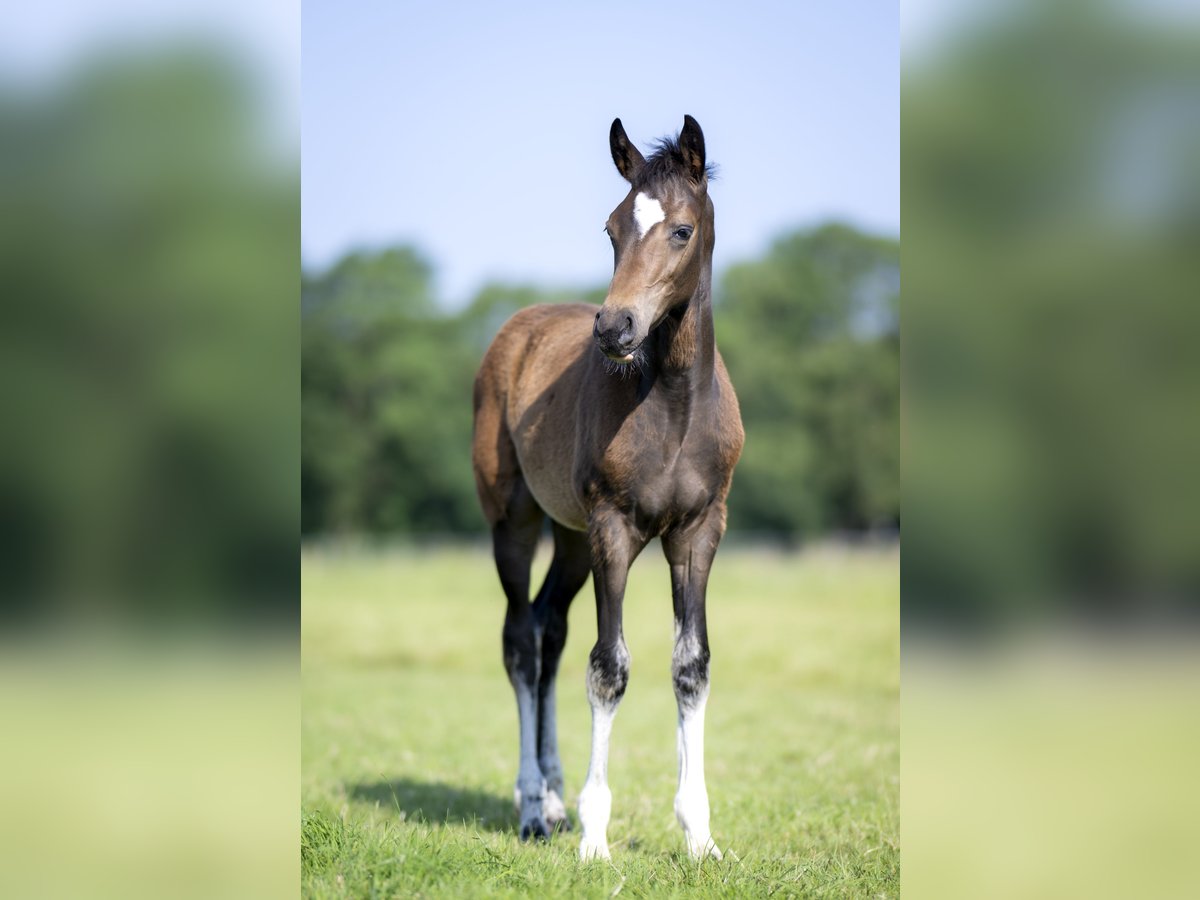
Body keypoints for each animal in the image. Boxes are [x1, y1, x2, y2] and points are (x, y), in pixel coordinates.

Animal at [470, 116, 739, 864]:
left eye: (680, 230)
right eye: (612, 228)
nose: (615, 328)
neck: (673, 406)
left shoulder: (699, 530)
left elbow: (691, 665)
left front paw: (700, 835)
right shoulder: (614, 529)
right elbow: (608, 668)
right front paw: (595, 836)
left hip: (568, 536)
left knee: (549, 629)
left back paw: (555, 798)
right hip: (515, 521)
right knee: (520, 640)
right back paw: (535, 808)